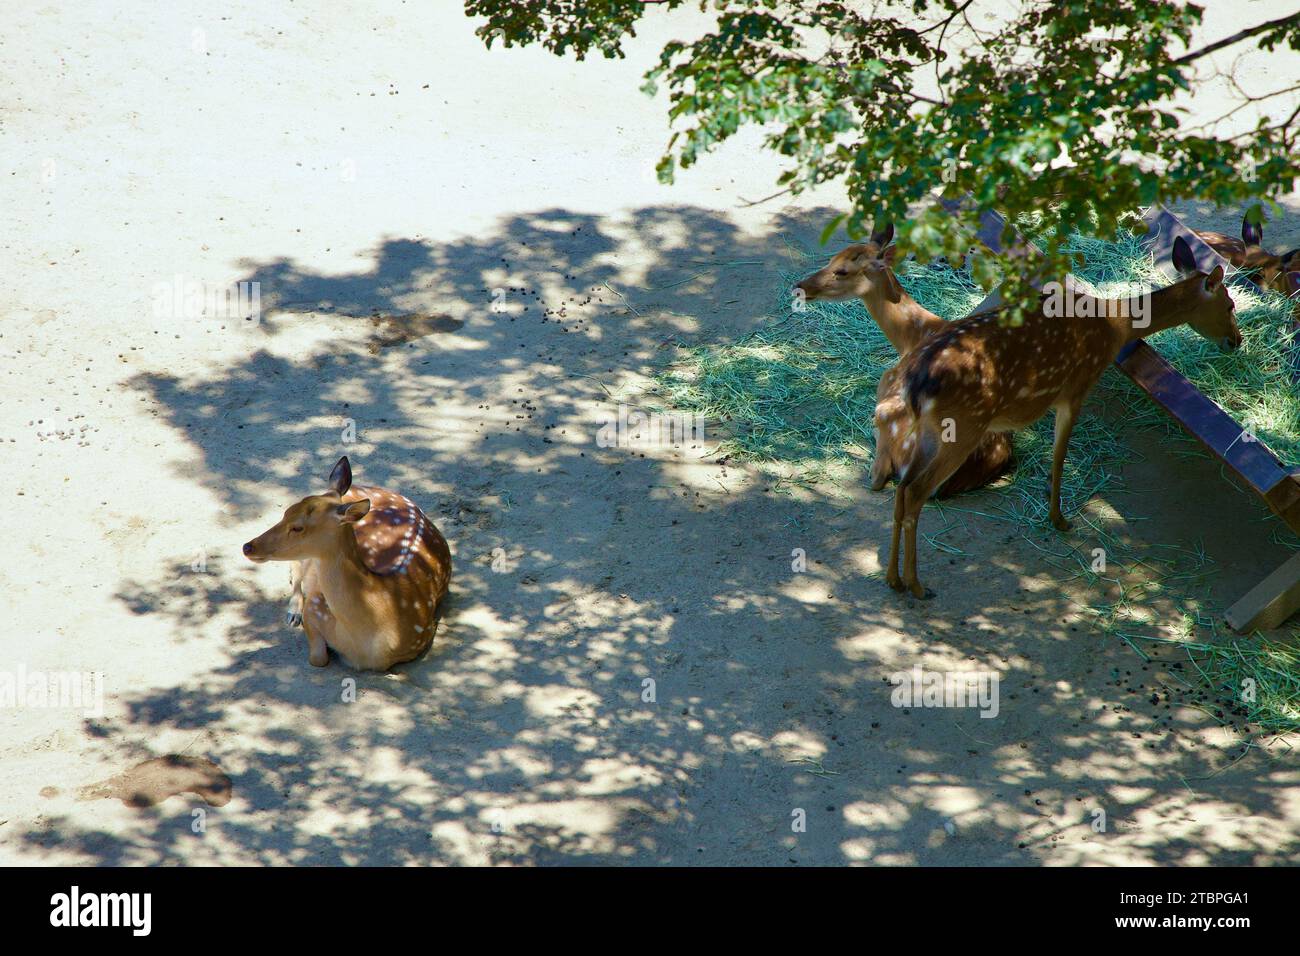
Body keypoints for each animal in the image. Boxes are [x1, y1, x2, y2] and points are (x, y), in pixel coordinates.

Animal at [244, 457, 452, 671]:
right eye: (285, 513)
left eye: (298, 527)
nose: (248, 546)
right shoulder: (316, 605)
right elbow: (318, 658)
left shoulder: (422, 634)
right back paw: (293, 614)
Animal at [790, 222, 1013, 494]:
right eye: (832, 257)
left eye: (842, 271)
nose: (799, 286)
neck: (912, 337)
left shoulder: (885, 385)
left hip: (888, 412)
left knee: (877, 476)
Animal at [889, 235, 1242, 598]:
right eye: (1230, 305)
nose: (1237, 340)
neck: (1115, 325)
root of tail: (915, 380)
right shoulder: (1076, 388)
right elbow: (1059, 457)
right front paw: (1059, 518)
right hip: (963, 426)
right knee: (916, 491)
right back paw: (917, 585)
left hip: (930, 431)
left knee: (902, 488)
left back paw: (894, 580)